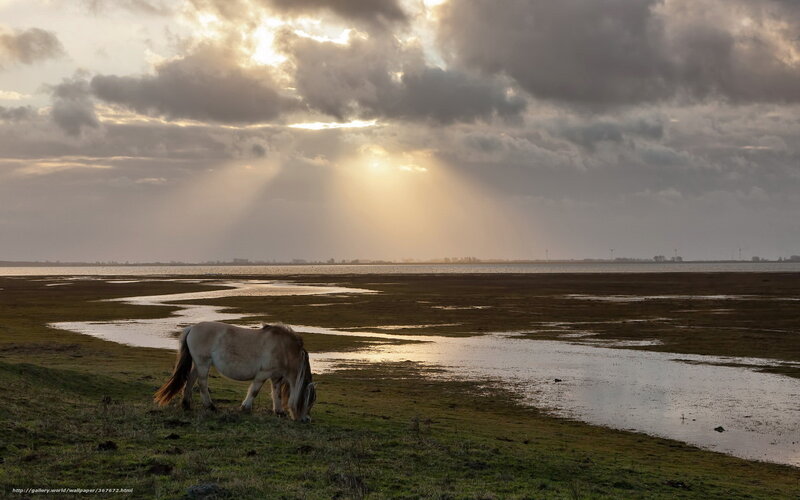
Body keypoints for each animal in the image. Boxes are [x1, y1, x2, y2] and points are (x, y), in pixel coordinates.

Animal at [154, 322, 317, 422]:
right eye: (309, 401)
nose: (307, 420)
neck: (283, 348)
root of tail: (192, 328)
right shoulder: (263, 374)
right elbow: (254, 391)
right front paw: (245, 408)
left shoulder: (276, 377)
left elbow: (276, 394)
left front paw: (279, 412)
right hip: (203, 363)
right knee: (201, 383)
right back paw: (210, 406)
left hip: (198, 364)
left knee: (191, 380)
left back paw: (186, 405)